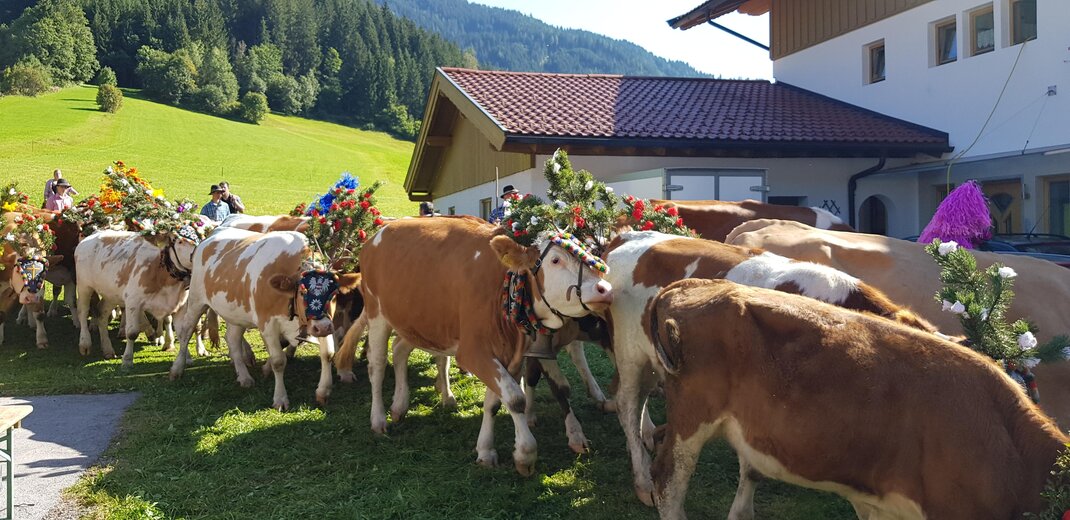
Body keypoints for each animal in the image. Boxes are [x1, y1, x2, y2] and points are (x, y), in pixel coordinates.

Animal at [74, 221, 208, 367]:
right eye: (179, 241)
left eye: (200, 237)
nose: (200, 252)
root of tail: (92, 235)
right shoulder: (133, 301)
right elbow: (132, 333)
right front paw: (127, 360)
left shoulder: (180, 306)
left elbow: (183, 333)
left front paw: (186, 358)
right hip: (84, 285)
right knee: (82, 312)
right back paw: (84, 344)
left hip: (111, 294)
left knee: (102, 313)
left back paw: (108, 349)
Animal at [168, 227, 360, 410]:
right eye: (303, 291)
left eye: (334, 294)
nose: (323, 328)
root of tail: (209, 237)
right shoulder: (268, 324)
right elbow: (278, 361)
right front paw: (280, 398)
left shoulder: (322, 322)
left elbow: (328, 354)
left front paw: (323, 391)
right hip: (196, 300)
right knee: (186, 332)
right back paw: (177, 368)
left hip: (235, 312)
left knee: (232, 339)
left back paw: (244, 377)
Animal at [343, 216, 612, 475]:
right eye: (555, 260)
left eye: (587, 252)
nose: (605, 288)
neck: (502, 285)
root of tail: (377, 234)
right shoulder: (473, 352)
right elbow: (516, 398)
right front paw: (525, 453)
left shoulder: (507, 354)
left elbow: (495, 402)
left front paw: (485, 450)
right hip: (377, 314)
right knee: (377, 366)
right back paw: (378, 419)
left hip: (415, 321)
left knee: (399, 351)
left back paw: (400, 405)